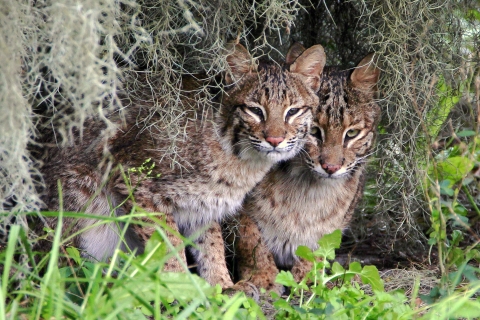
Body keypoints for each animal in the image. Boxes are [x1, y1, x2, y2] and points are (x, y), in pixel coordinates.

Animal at [40, 42, 326, 288]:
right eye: (255, 110)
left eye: (293, 111)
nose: (275, 140)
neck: (241, 155)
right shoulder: (135, 179)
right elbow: (166, 245)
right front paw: (176, 288)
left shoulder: (204, 203)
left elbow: (211, 245)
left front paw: (221, 288)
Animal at [234, 43, 380, 292]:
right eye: (312, 131)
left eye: (352, 133)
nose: (331, 167)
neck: (307, 185)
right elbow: (251, 240)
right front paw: (263, 277)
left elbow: (318, 247)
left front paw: (309, 280)